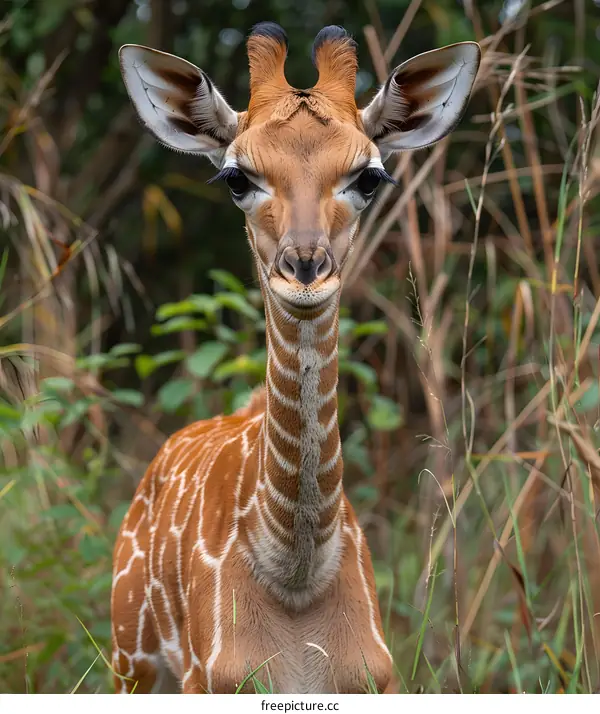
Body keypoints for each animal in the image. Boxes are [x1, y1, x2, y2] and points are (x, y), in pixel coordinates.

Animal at [111, 22, 480, 694]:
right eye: (236, 176)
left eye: (369, 176)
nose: (305, 269)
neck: (296, 576)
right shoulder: (209, 680)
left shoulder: (378, 678)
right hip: (132, 658)